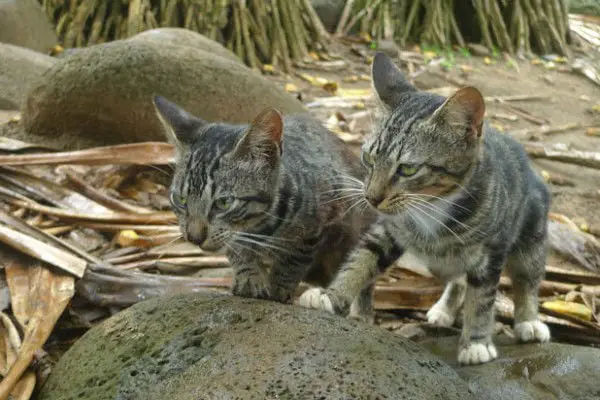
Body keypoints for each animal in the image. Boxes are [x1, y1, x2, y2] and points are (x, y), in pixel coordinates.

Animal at [152, 96, 376, 316]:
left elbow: (296, 256)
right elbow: (238, 250)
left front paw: (279, 286)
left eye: (224, 203)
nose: (194, 237)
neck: (263, 226)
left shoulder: (323, 219)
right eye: (180, 200)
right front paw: (249, 277)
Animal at [300, 54, 552, 366]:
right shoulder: (387, 230)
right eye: (369, 158)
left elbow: (482, 298)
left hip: (532, 232)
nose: (371, 198)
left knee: (527, 277)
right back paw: (445, 309)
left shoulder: (491, 251)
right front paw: (331, 295)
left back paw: (529, 320)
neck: (432, 208)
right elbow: (361, 260)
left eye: (408, 169)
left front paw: (476, 342)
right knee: (458, 280)